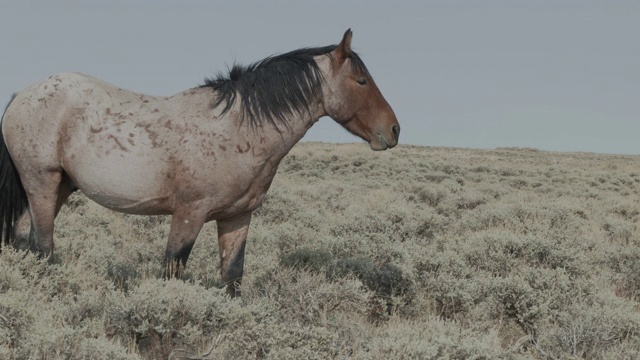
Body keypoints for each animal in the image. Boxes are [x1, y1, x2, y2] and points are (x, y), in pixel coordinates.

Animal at [1, 28, 400, 296]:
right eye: (361, 80)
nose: (393, 130)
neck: (239, 129)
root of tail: (23, 95)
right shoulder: (188, 214)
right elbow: (172, 270)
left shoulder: (237, 217)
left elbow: (232, 276)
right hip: (42, 183)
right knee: (43, 244)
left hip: (60, 187)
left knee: (22, 236)